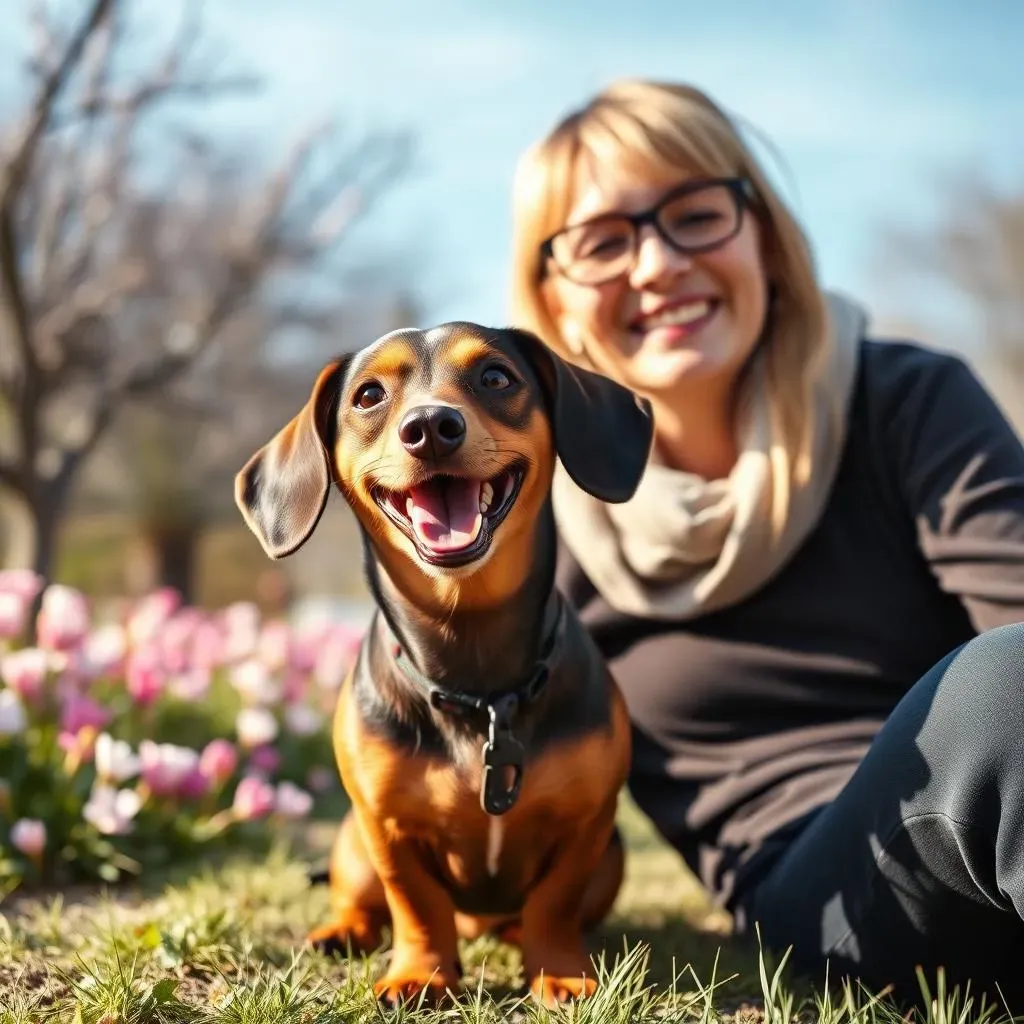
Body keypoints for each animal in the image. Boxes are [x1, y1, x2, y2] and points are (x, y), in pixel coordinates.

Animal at [234, 321, 651, 1007]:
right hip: (352, 843)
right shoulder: (387, 829)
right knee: (365, 903)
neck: (475, 682)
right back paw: (341, 931)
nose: (430, 425)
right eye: (369, 395)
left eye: (495, 377)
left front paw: (559, 971)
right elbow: (418, 905)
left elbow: (554, 903)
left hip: (613, 855)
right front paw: (421, 974)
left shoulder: (589, 824)